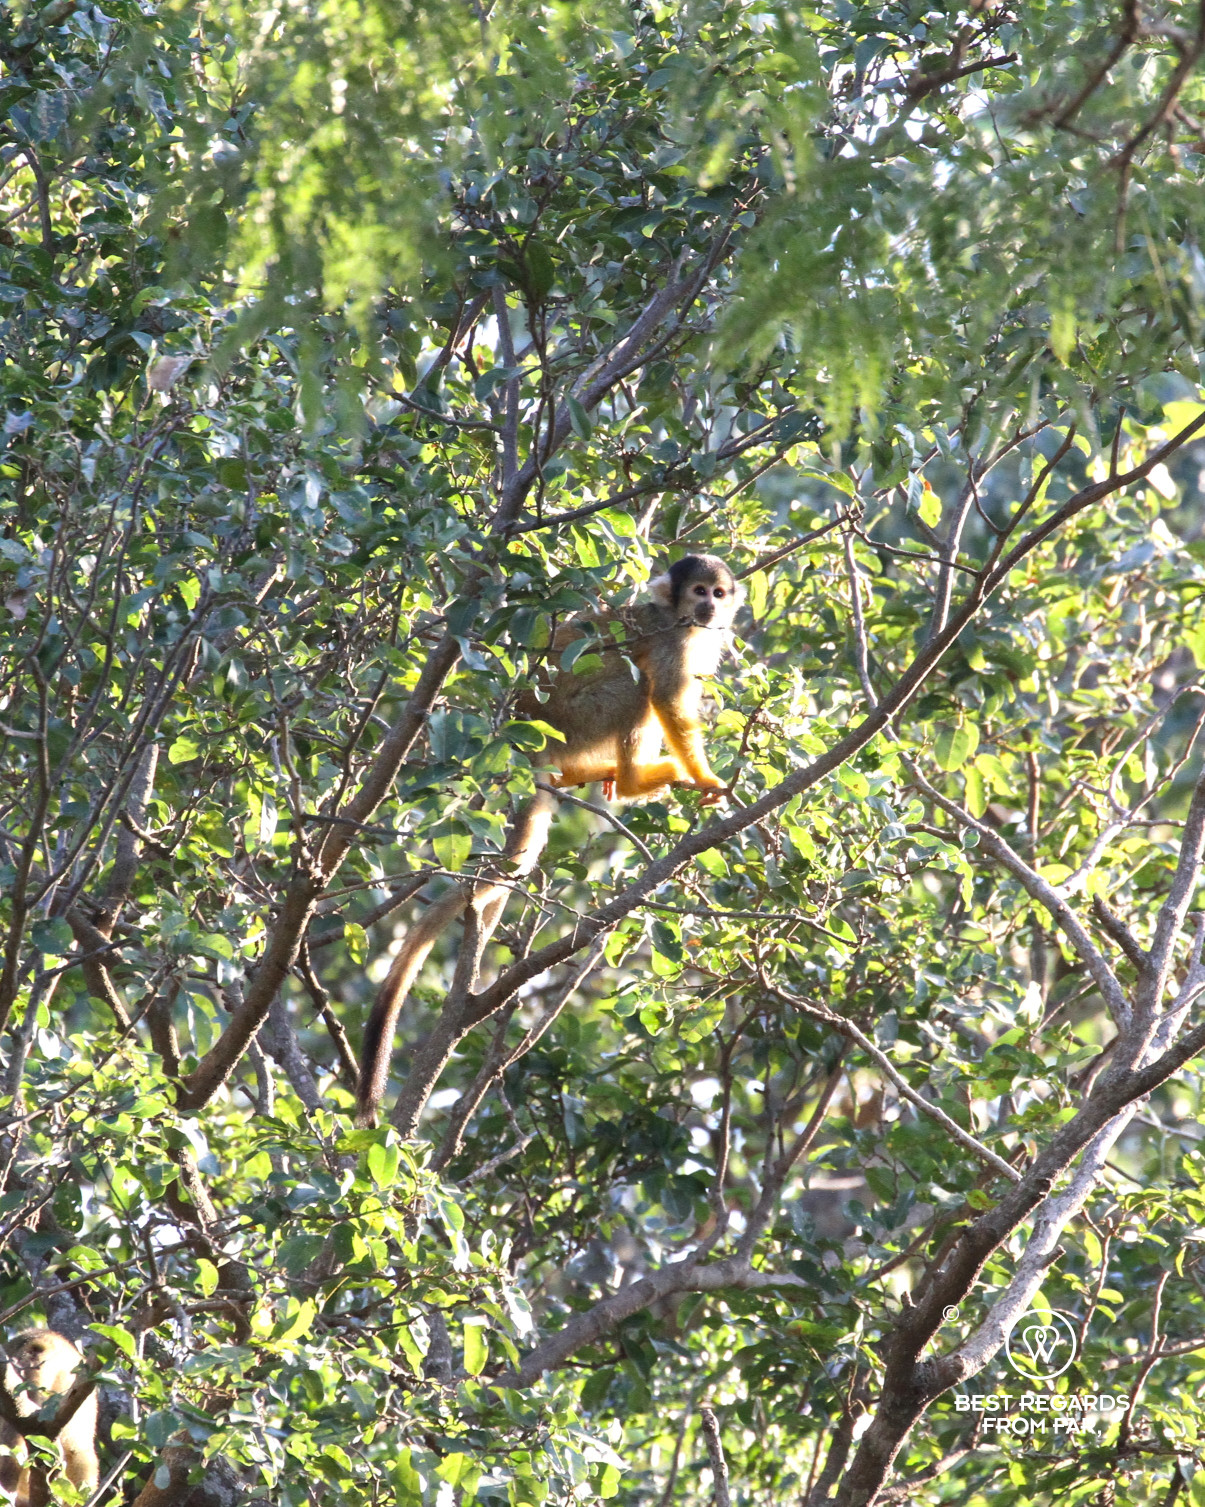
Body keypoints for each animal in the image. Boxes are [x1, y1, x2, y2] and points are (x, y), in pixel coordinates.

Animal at [356, 554, 744, 1126]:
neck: (678, 619)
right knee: (637, 688)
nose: (710, 609)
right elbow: (668, 699)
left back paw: (598, 775)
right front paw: (705, 777)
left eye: (718, 593)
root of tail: (525, 735)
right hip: (572, 719)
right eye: (698, 591)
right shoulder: (671, 640)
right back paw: (635, 780)